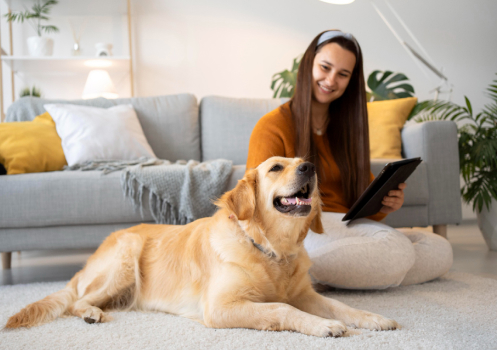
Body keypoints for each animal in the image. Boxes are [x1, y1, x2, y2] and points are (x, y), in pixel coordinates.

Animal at [4, 158, 400, 336]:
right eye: (275, 167)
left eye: (303, 160)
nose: (310, 166)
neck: (271, 249)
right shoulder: (221, 307)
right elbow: (282, 309)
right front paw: (323, 326)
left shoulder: (303, 292)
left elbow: (338, 305)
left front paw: (372, 318)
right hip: (125, 255)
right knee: (77, 301)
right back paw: (91, 313)